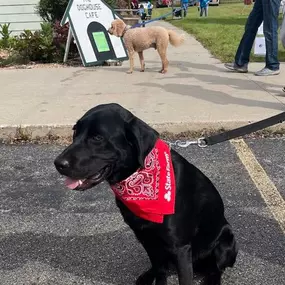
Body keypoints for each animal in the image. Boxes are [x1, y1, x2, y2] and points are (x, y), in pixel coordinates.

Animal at [54, 103, 236, 284]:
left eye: (97, 138)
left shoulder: (180, 247)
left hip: (226, 241)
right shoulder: (145, 237)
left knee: (216, 269)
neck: (138, 176)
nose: (58, 164)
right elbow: (159, 269)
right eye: (75, 131)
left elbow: (183, 278)